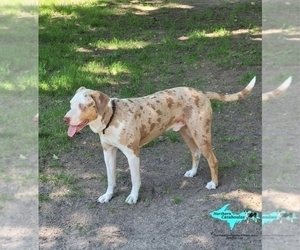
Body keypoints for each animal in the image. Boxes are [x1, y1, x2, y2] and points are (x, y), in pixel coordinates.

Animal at [62, 77, 255, 204]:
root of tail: (200, 92)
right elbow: (111, 178)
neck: (111, 118)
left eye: (82, 106)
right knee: (196, 153)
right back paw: (193, 172)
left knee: (213, 160)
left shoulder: (133, 154)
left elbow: (135, 179)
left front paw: (133, 197)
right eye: (70, 104)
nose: (64, 119)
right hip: (186, 133)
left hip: (201, 135)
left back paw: (214, 184)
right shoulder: (108, 152)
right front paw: (108, 196)